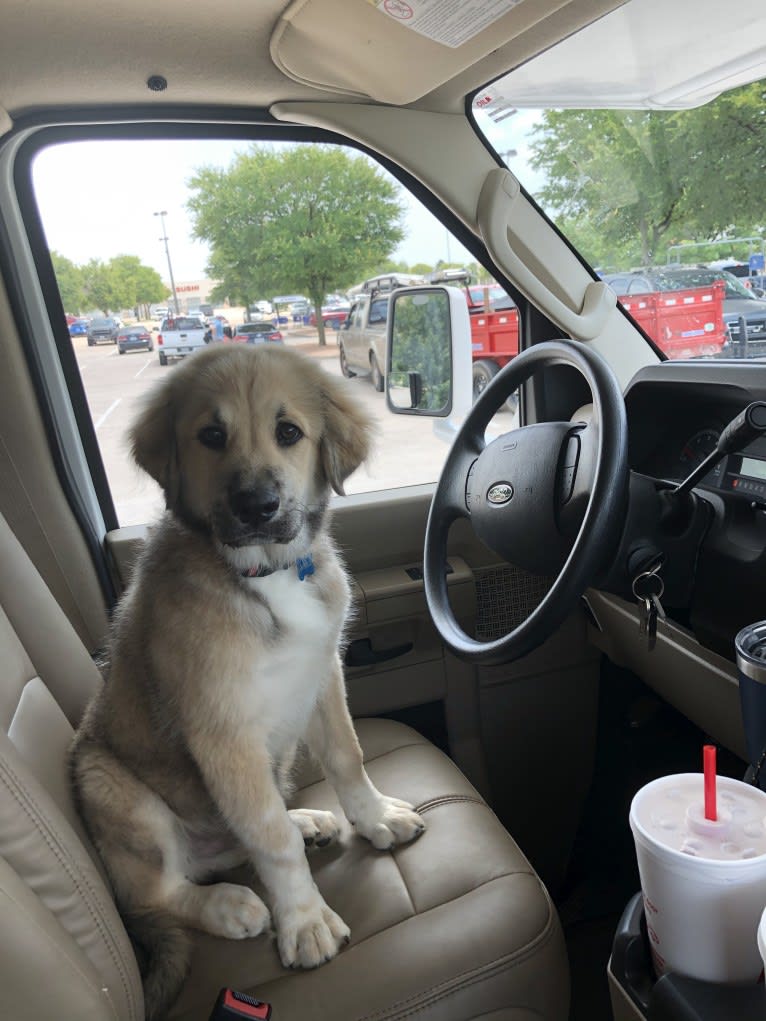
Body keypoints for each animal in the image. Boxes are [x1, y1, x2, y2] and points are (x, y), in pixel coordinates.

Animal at [70, 345, 426, 1021]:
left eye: (288, 433)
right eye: (211, 436)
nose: (256, 506)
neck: (268, 573)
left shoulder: (322, 674)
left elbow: (347, 758)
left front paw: (374, 819)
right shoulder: (222, 732)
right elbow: (270, 838)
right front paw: (305, 920)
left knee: (245, 834)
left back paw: (306, 819)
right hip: (108, 785)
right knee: (158, 893)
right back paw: (228, 903)